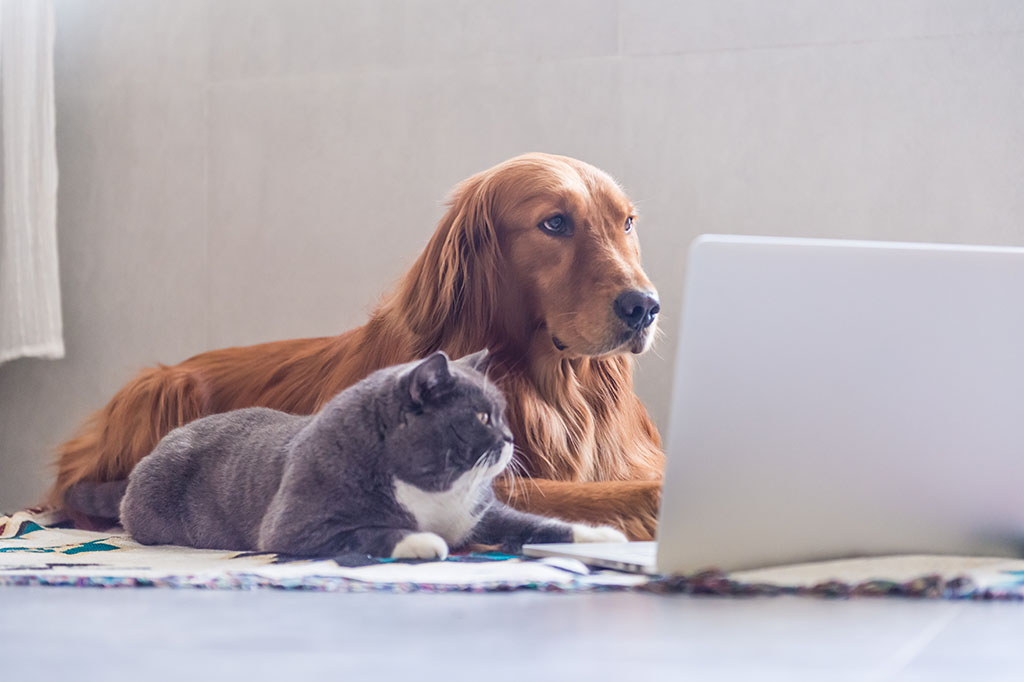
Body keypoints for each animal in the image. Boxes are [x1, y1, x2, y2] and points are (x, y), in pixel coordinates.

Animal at [49, 152, 663, 536]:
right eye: (555, 223)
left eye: (627, 223)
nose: (644, 306)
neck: (551, 389)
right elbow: (622, 494)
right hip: (162, 387)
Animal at [66, 350, 622, 557]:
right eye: (484, 418)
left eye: (504, 415)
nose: (510, 439)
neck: (432, 489)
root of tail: (157, 447)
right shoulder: (297, 526)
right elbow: (368, 530)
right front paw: (423, 542)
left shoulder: (479, 515)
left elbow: (533, 522)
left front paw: (604, 535)